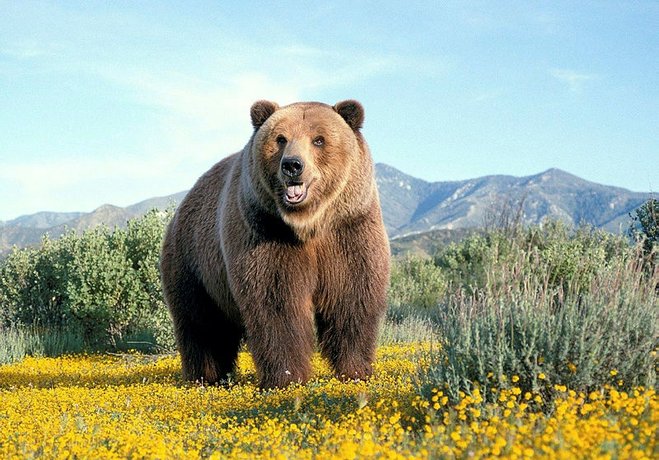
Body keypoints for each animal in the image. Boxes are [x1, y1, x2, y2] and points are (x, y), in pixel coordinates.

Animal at [160, 99, 392, 388]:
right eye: (281, 139)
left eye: (319, 139)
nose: (292, 165)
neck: (308, 224)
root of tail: (183, 205)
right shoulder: (266, 232)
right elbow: (276, 303)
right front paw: (286, 377)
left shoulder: (349, 229)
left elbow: (351, 296)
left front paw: (355, 371)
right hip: (194, 262)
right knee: (202, 324)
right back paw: (205, 376)